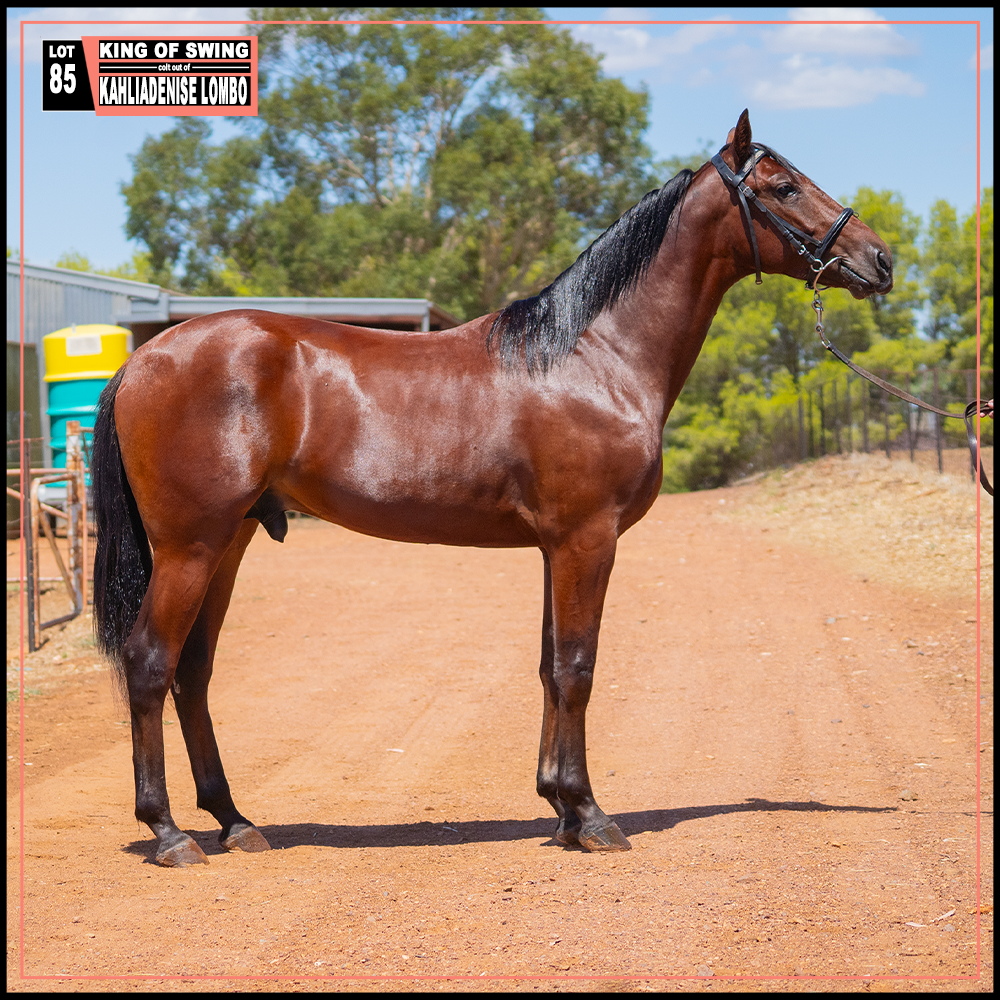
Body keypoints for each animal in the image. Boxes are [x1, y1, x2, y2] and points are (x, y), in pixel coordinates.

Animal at [91, 109, 893, 867]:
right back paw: (169, 832)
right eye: (782, 187)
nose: (879, 260)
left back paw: (235, 821)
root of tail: (142, 361)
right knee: (150, 663)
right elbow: (576, 668)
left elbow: (548, 667)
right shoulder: (586, 539)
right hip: (190, 547)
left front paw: (560, 807)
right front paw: (590, 816)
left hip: (228, 543)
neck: (593, 357)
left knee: (193, 672)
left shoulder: (553, 547)